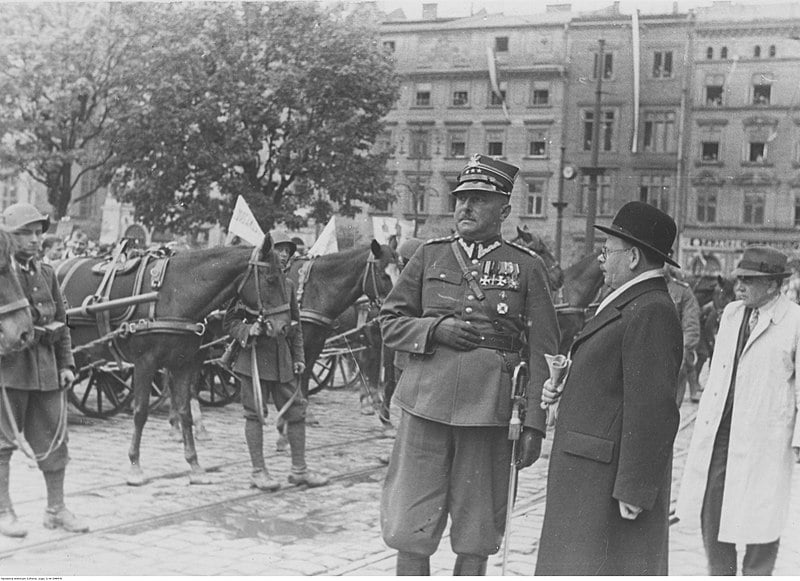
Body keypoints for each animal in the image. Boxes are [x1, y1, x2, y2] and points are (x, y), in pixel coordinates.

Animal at [59, 236, 290, 484]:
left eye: (284, 277)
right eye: (271, 279)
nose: (284, 326)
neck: (175, 293)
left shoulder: (183, 363)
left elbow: (185, 411)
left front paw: (194, 465)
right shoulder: (145, 362)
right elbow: (140, 412)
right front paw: (135, 466)